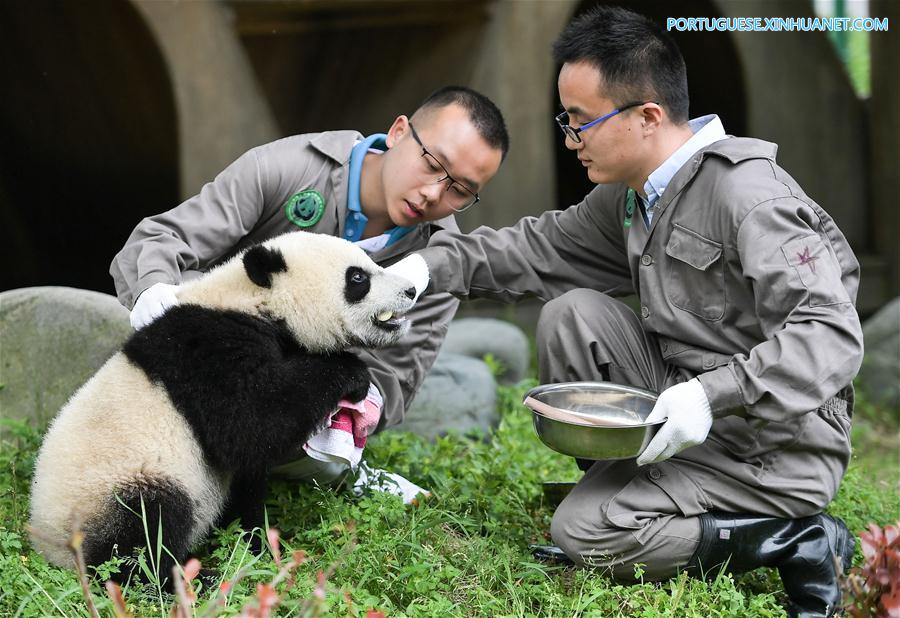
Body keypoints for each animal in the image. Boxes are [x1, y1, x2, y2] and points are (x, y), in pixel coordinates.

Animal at [29, 230, 418, 584]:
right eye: (358, 278)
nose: (411, 290)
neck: (251, 300)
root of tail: (50, 549)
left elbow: (247, 472)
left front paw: (258, 544)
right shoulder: (208, 350)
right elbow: (250, 424)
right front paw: (352, 373)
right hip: (111, 486)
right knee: (142, 527)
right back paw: (188, 580)